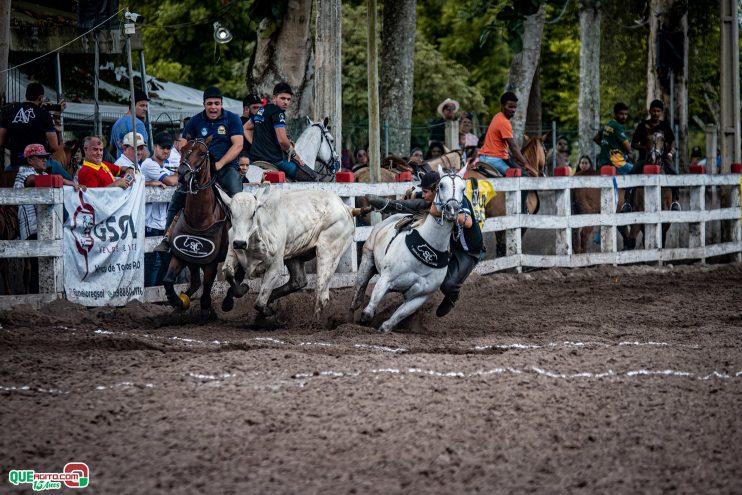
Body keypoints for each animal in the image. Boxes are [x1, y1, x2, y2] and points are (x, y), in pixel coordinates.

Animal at [162, 140, 232, 322]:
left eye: (201, 153)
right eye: (183, 150)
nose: (182, 173)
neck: (200, 217)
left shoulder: (211, 262)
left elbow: (207, 288)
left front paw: (206, 310)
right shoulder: (181, 254)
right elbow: (168, 281)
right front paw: (178, 302)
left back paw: (228, 302)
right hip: (193, 261)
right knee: (195, 283)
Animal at [219, 188, 356, 320]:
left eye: (253, 213)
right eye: (231, 212)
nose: (240, 243)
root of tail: (345, 207)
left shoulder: (275, 266)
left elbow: (259, 302)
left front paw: (267, 311)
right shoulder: (232, 251)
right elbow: (228, 272)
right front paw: (241, 291)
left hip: (328, 253)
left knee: (321, 295)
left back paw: (314, 322)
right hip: (294, 255)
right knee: (299, 281)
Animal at [352, 167, 468, 334]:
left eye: (463, 188)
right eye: (441, 185)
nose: (453, 209)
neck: (428, 250)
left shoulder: (420, 296)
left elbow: (397, 317)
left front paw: (385, 327)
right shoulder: (386, 278)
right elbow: (368, 312)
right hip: (368, 258)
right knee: (360, 285)